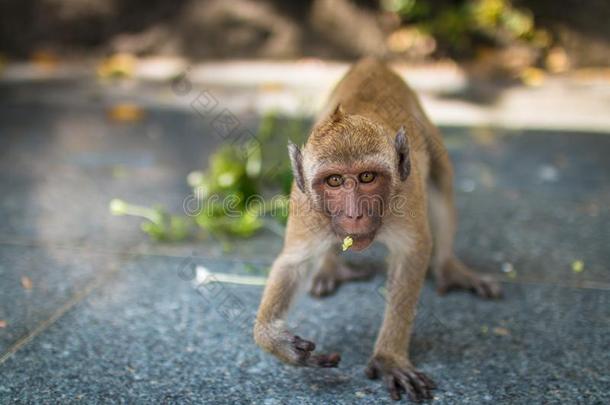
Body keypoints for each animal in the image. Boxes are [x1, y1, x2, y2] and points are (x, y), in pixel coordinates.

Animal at [252, 57, 498, 400]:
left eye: (367, 177)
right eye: (334, 180)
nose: (354, 215)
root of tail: (372, 62)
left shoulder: (408, 193)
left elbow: (412, 254)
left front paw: (388, 357)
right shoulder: (304, 203)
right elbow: (293, 262)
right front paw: (276, 341)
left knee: (441, 176)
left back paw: (449, 268)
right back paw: (330, 267)